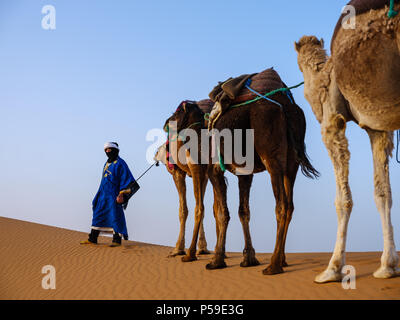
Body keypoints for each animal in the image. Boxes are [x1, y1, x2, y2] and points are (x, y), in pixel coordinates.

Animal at [294, 0, 400, 282]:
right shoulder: (378, 128)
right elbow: (383, 193)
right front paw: (387, 265)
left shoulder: (332, 122)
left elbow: (342, 200)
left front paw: (332, 268)